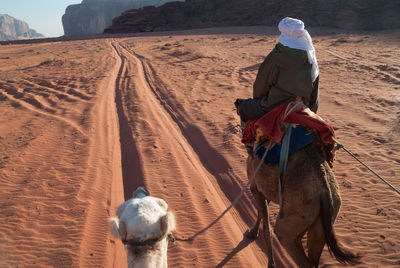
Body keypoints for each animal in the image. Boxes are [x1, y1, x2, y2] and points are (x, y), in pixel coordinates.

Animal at [245, 138, 360, 268]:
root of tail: (324, 191)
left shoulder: (255, 186)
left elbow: (266, 226)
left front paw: (253, 235)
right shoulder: (263, 190)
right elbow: (261, 213)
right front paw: (252, 233)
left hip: (296, 214)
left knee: (284, 236)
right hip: (325, 217)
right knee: (312, 255)